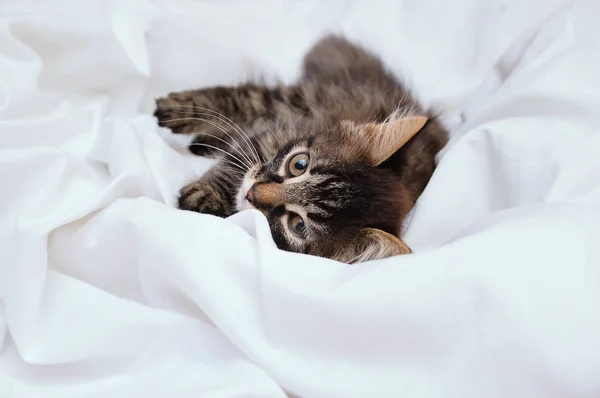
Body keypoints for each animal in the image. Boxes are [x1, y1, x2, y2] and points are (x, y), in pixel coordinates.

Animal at [152, 35, 448, 264]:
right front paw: (207, 193)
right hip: (297, 100)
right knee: (245, 99)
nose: (252, 192)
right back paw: (177, 112)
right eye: (299, 165)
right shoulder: (276, 130)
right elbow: (235, 161)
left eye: (298, 225)